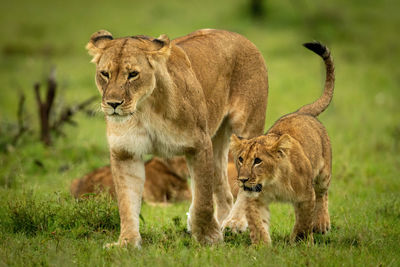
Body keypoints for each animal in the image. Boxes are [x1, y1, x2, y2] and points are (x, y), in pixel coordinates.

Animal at [87, 28, 268, 247]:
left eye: (133, 74)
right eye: (105, 74)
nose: (113, 103)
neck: (144, 109)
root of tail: (239, 35)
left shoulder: (198, 145)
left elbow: (203, 201)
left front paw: (208, 238)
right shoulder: (125, 153)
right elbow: (126, 204)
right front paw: (127, 243)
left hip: (246, 128)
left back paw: (235, 222)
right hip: (216, 141)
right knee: (224, 192)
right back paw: (222, 221)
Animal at [228, 42, 334, 245]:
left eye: (258, 161)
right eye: (240, 159)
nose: (243, 179)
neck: (272, 182)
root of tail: (301, 112)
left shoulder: (306, 195)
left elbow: (304, 221)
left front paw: (300, 241)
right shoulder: (255, 199)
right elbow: (258, 224)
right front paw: (261, 246)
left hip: (324, 173)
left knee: (323, 194)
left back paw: (321, 223)